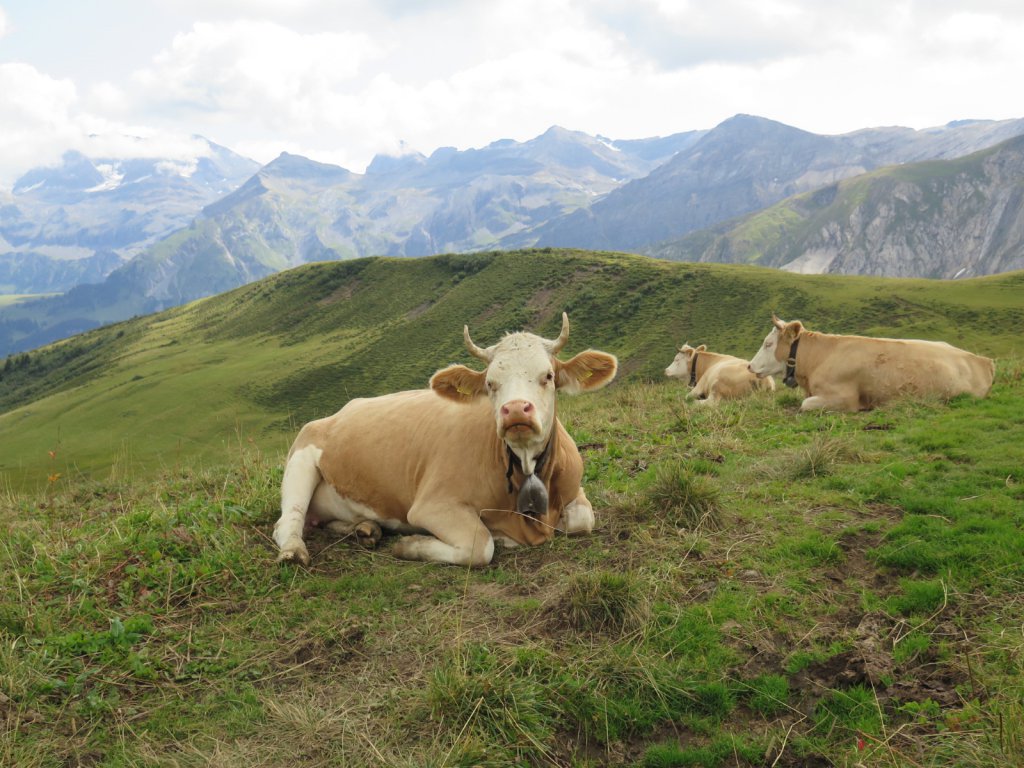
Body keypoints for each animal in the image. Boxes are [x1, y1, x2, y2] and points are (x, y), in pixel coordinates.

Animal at [272, 313, 618, 573]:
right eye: (490, 384)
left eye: (548, 376)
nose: (516, 410)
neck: (525, 467)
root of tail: (339, 412)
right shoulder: (432, 505)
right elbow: (480, 545)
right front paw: (411, 545)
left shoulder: (574, 490)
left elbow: (583, 520)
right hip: (301, 457)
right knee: (288, 520)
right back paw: (294, 551)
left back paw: (365, 529)